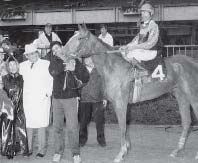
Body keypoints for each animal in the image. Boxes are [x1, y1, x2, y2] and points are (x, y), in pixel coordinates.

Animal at [62, 24, 198, 162]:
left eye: (79, 38)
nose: (62, 52)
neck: (113, 67)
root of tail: (193, 62)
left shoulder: (120, 103)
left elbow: (122, 127)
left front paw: (121, 154)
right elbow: (125, 126)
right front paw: (126, 149)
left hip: (193, 97)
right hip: (181, 96)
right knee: (187, 121)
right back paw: (177, 150)